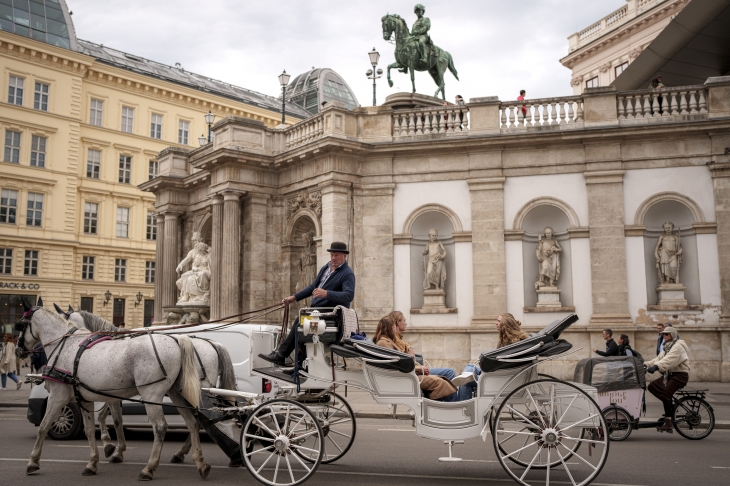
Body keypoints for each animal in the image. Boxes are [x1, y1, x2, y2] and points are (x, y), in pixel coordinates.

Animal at [15, 302, 209, 480]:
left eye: (20, 325)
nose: (18, 350)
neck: (67, 345)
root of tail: (177, 340)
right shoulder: (86, 399)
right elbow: (91, 429)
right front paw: (93, 462)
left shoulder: (58, 396)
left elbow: (44, 426)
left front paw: (33, 462)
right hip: (178, 393)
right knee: (192, 422)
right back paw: (199, 462)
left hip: (151, 394)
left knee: (160, 428)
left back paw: (149, 468)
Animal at [57, 308, 239, 468]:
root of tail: (213, 344)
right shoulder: (113, 393)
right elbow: (106, 416)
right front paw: (111, 445)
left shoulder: (111, 394)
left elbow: (114, 419)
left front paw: (112, 447)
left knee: (202, 420)